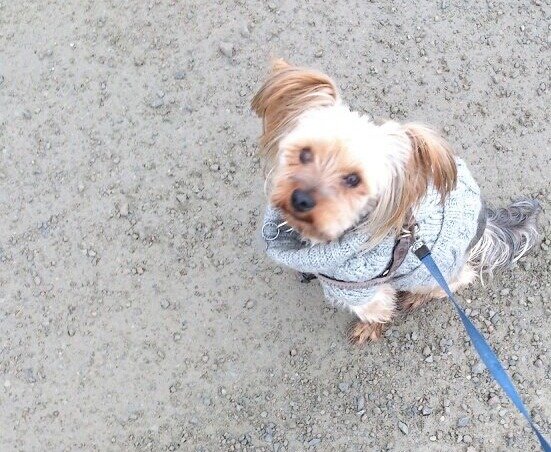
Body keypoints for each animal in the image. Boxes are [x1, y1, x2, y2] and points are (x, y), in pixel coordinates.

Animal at [252, 59, 541, 344]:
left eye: (353, 180)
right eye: (305, 153)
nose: (300, 199)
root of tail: (484, 227)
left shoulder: (361, 289)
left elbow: (376, 310)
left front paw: (369, 328)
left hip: (430, 271)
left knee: (457, 280)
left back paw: (419, 296)